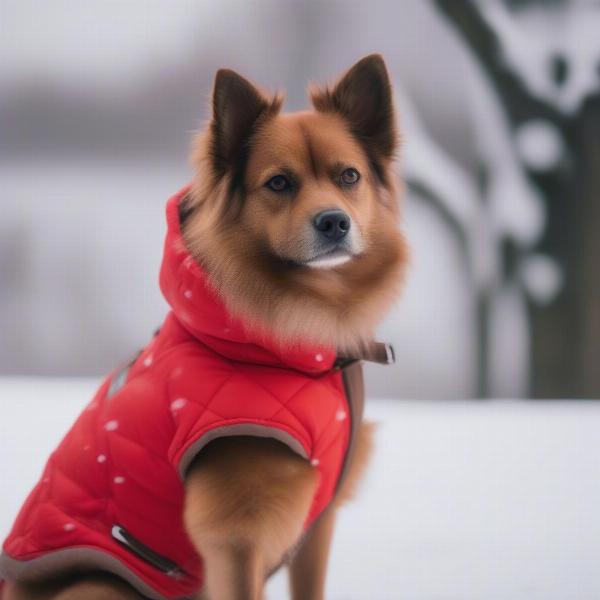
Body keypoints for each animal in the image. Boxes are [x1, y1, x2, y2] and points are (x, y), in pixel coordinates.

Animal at [2, 55, 408, 600]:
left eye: (349, 175)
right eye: (278, 183)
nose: (334, 222)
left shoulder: (316, 524)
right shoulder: (237, 535)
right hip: (102, 586)